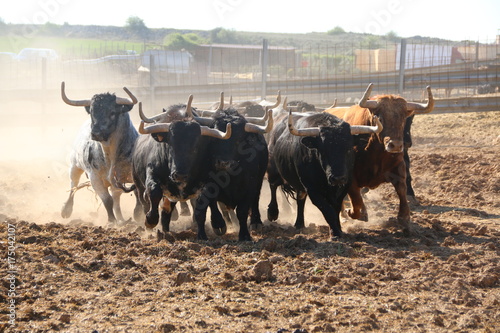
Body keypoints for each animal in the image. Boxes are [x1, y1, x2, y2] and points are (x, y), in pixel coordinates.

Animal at [62, 81, 143, 222]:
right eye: (91, 112)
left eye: (112, 112)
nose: (96, 133)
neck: (110, 155)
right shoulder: (94, 177)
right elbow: (107, 200)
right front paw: (112, 221)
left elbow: (136, 193)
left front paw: (137, 214)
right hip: (74, 167)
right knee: (73, 186)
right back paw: (66, 209)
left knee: (116, 197)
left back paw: (122, 219)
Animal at [324, 83, 434, 233]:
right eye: (380, 118)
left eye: (403, 119)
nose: (396, 145)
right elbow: (356, 197)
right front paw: (355, 212)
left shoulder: (399, 166)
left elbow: (402, 189)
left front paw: (404, 217)